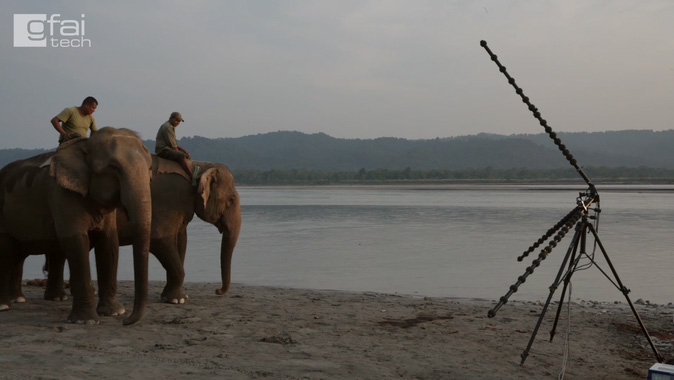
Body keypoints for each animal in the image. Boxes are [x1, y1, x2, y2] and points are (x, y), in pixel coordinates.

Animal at [0, 127, 152, 324]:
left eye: (150, 168)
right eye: (114, 168)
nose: (126, 322)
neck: (85, 145)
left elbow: (109, 241)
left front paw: (114, 312)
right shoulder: (61, 193)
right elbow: (76, 241)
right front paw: (86, 321)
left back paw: (39, 298)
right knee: (6, 251)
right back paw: (5, 306)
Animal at [11, 156, 240, 308]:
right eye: (231, 200)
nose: (218, 291)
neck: (197, 165)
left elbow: (180, 241)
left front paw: (176, 297)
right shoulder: (170, 200)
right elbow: (160, 239)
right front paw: (177, 300)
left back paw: (61, 297)